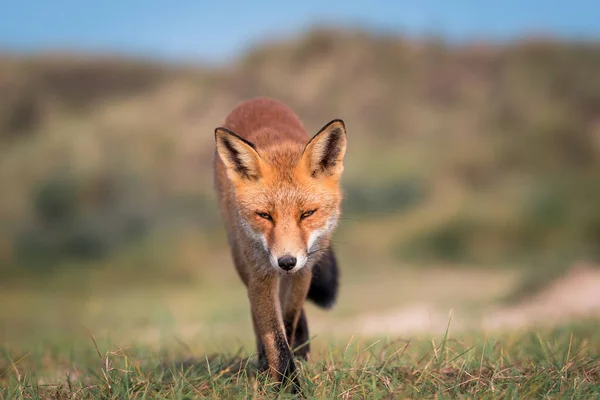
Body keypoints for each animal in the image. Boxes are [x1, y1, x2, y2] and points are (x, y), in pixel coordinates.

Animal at [214, 97, 346, 390]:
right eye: (264, 215)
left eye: (307, 214)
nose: (286, 262)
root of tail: (258, 100)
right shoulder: (261, 273)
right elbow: (274, 335)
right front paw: (287, 384)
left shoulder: (304, 269)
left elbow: (288, 320)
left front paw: (293, 366)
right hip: (241, 260)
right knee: (254, 313)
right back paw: (264, 362)